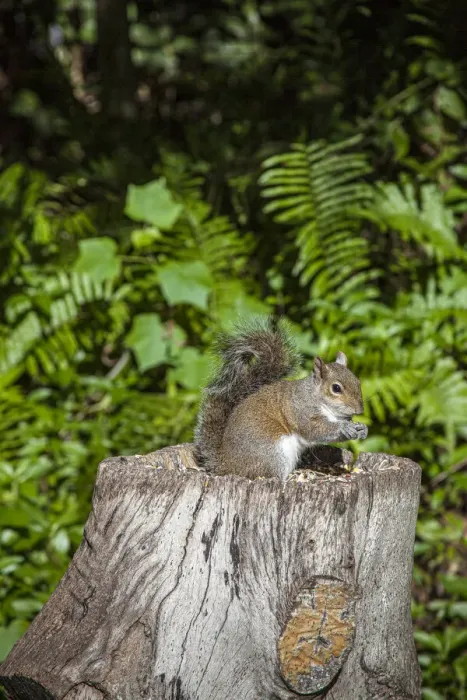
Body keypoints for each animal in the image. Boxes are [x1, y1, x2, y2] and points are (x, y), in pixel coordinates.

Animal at [194, 318, 368, 480]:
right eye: (336, 388)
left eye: (358, 381)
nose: (360, 410)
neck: (315, 396)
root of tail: (226, 464)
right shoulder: (301, 410)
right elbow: (314, 429)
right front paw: (344, 427)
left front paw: (361, 429)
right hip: (273, 452)